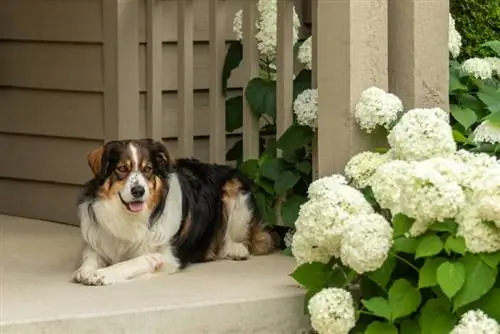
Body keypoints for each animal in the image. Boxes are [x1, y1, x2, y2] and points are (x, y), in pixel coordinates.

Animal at [73, 138, 276, 284]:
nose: (138, 191)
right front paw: (86, 270)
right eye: (122, 168)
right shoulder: (98, 242)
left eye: (148, 169)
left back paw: (235, 250)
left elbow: (133, 261)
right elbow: (90, 257)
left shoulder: (166, 257)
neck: (131, 217)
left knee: (249, 241)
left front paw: (102, 274)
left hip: (235, 190)